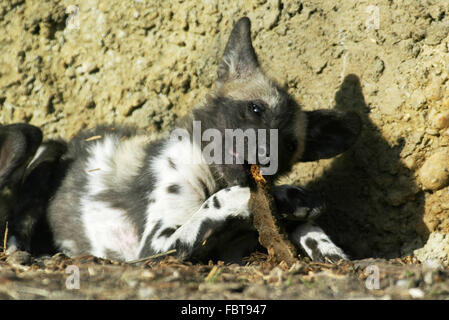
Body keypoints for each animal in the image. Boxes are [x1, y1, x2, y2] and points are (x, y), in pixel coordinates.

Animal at [16, 16, 360, 262]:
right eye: (255, 109)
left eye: (289, 145)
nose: (264, 155)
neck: (214, 176)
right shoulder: (154, 248)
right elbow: (226, 198)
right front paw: (286, 196)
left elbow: (298, 223)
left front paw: (324, 244)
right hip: (42, 146)